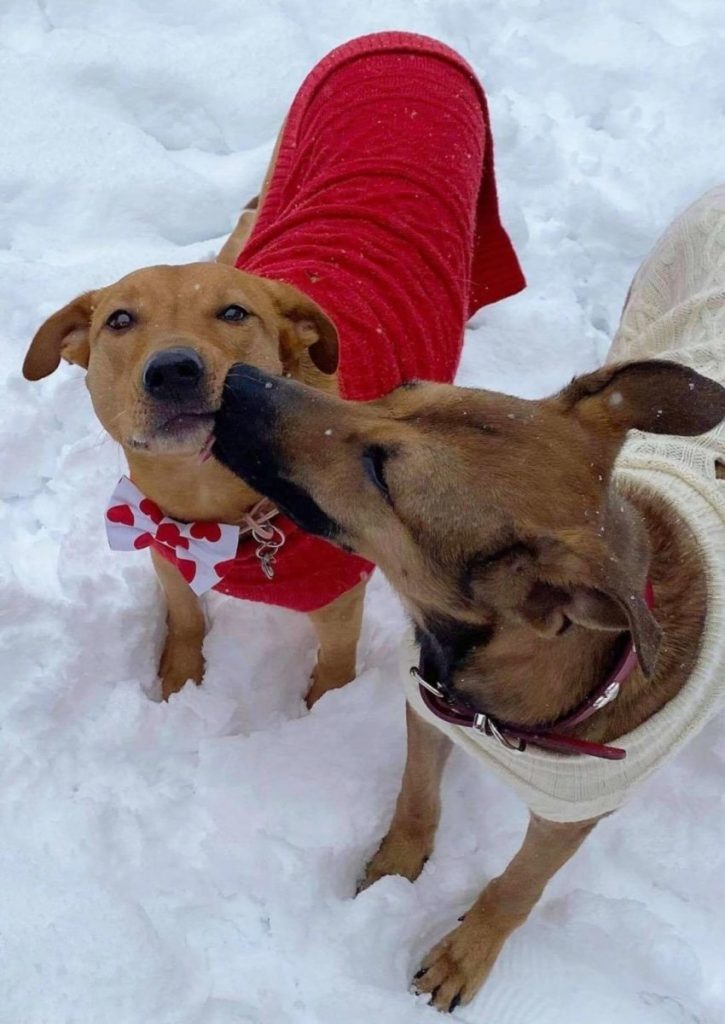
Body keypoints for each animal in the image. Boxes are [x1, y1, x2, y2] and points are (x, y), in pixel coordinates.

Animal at [209, 188, 724, 1011]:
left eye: (380, 472)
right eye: (400, 390)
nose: (233, 383)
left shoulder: (573, 811)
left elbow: (516, 887)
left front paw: (464, 954)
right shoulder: (427, 710)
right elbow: (415, 799)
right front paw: (394, 866)